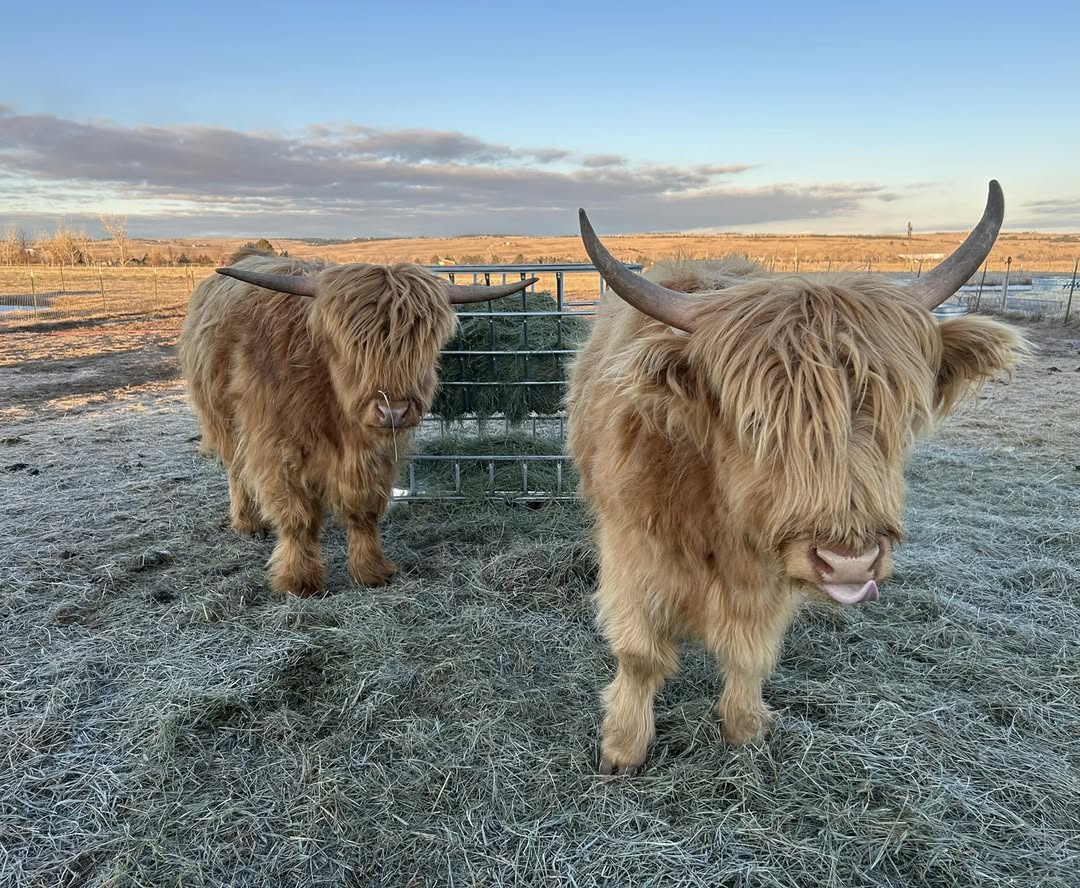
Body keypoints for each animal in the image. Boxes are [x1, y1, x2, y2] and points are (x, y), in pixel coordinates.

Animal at [179, 249, 537, 597]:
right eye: (353, 344)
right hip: (222, 421)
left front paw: (371, 570)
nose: (393, 411)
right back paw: (248, 523)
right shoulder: (277, 448)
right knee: (236, 470)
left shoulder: (374, 454)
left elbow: (363, 511)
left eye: (422, 343)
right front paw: (299, 580)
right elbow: (297, 517)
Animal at [567, 181, 1026, 774]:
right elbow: (641, 655)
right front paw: (622, 748)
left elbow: (751, 652)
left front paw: (744, 728)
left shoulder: (771, 576)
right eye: (756, 420)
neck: (721, 521)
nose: (849, 562)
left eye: (899, 413)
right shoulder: (633, 554)